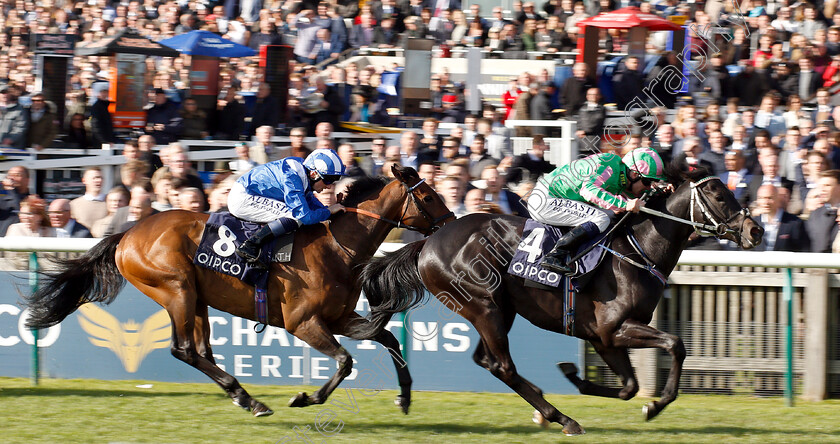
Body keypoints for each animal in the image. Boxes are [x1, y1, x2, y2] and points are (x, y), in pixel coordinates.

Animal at [23, 166, 452, 416]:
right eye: (428, 196)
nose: (452, 221)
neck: (337, 247)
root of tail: (128, 234)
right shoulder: (303, 322)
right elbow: (346, 362)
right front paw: (305, 398)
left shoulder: (340, 317)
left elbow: (388, 339)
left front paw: (405, 397)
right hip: (175, 289)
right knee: (184, 350)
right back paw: (249, 398)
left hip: (196, 299)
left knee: (201, 351)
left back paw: (242, 396)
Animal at [354, 163, 768, 434]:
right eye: (719, 195)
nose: (756, 230)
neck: (639, 250)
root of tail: (429, 241)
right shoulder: (615, 329)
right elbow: (676, 345)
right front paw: (655, 405)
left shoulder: (604, 339)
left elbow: (630, 386)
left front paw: (577, 377)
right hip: (484, 305)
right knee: (502, 366)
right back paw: (562, 418)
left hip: (498, 310)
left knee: (488, 361)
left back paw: (546, 407)